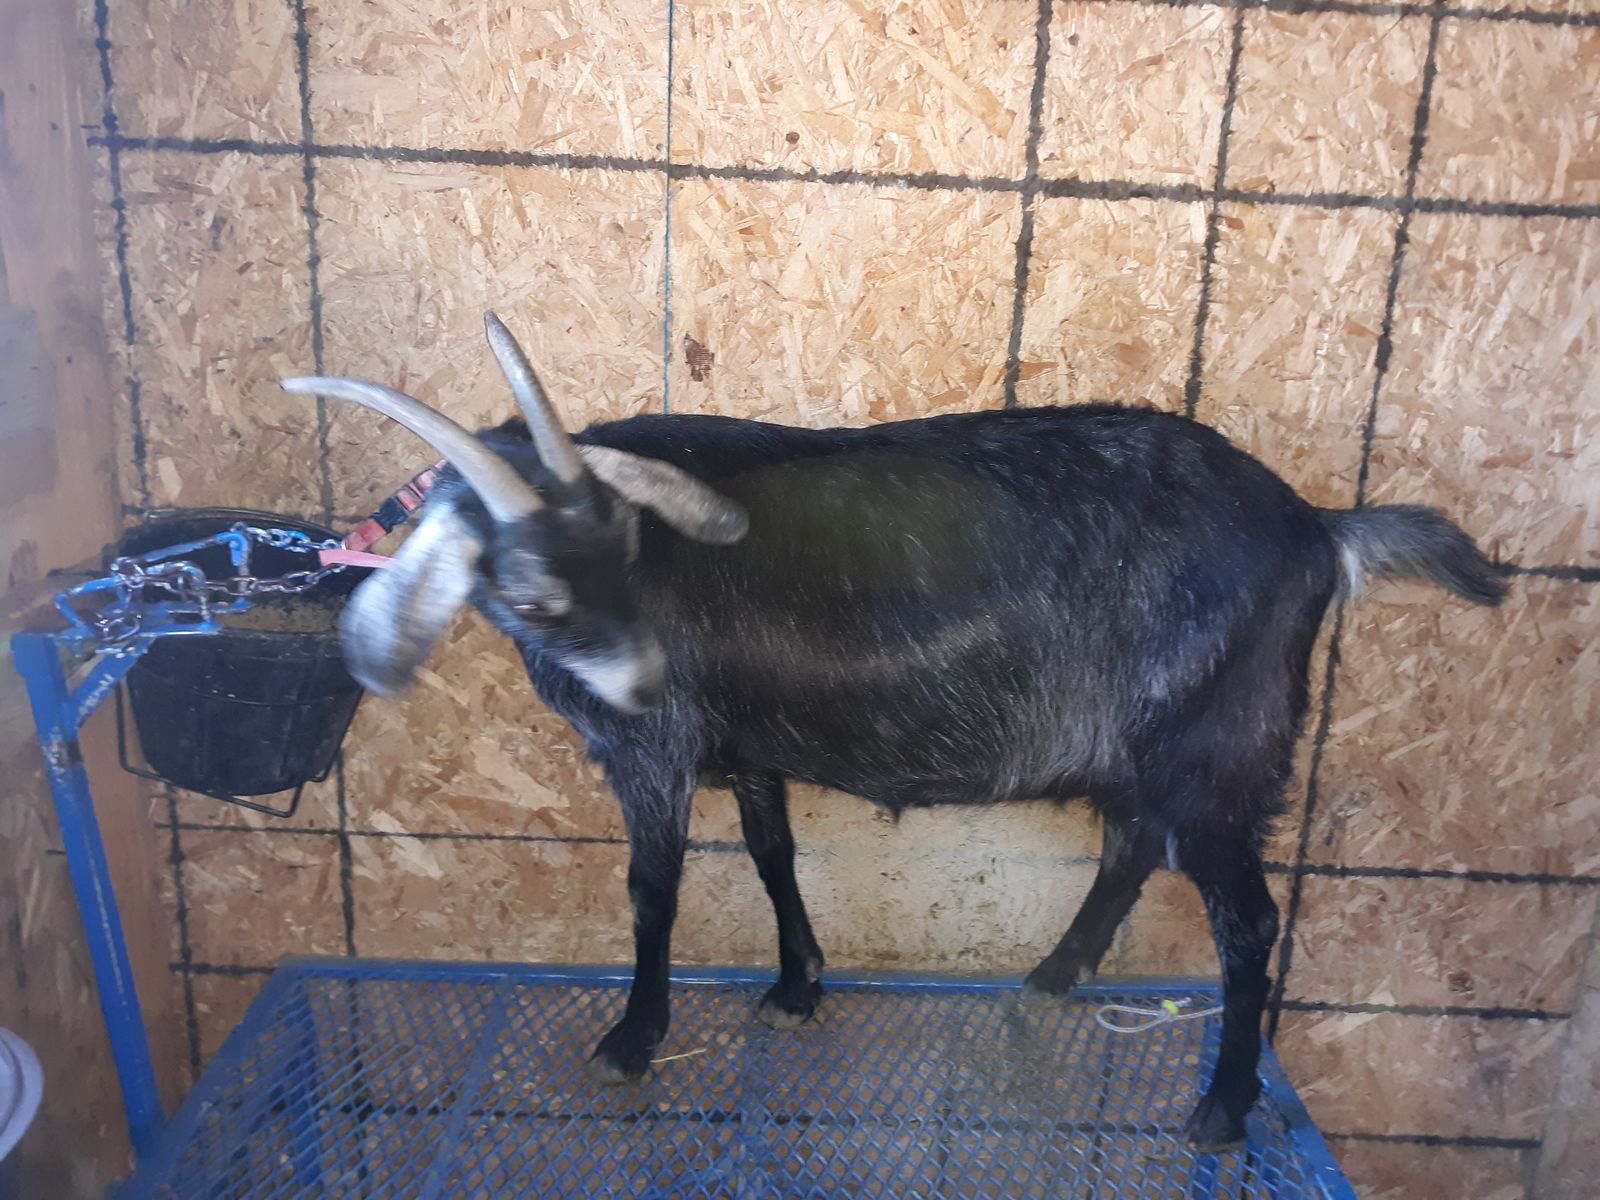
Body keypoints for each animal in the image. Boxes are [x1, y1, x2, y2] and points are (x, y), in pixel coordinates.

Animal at [283, 313, 1505, 1151]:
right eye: (529, 588)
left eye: (629, 550)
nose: (642, 679)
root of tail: (1317, 529)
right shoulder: (747, 749)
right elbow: (772, 852)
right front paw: (799, 985)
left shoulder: (655, 755)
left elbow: (652, 893)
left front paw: (632, 1041)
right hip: (1147, 752)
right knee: (1127, 851)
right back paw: (1053, 978)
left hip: (1215, 751)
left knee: (1246, 922)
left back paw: (1219, 1108)